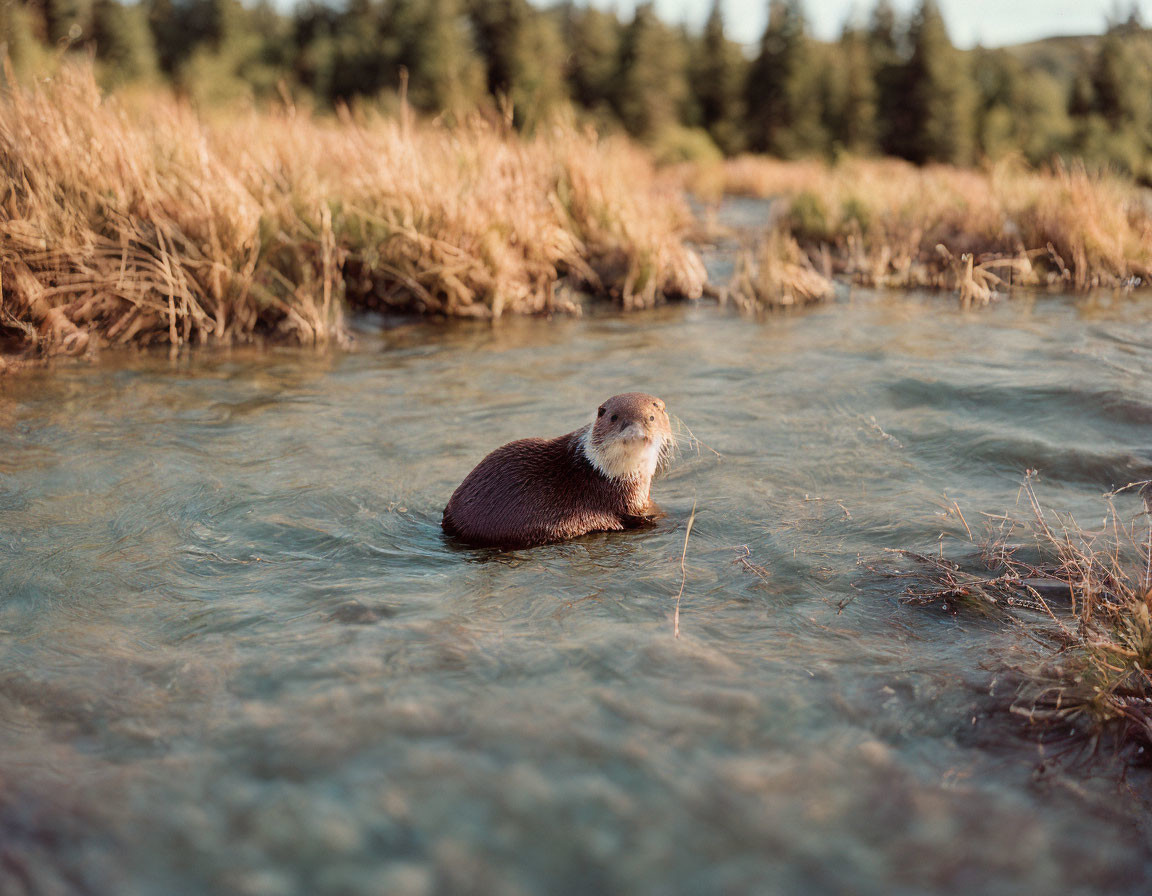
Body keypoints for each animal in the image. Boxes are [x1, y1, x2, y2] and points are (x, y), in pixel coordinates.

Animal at [442, 393, 672, 548]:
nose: (635, 432)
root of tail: (452, 525)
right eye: (614, 418)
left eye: (651, 418)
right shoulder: (627, 501)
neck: (606, 473)